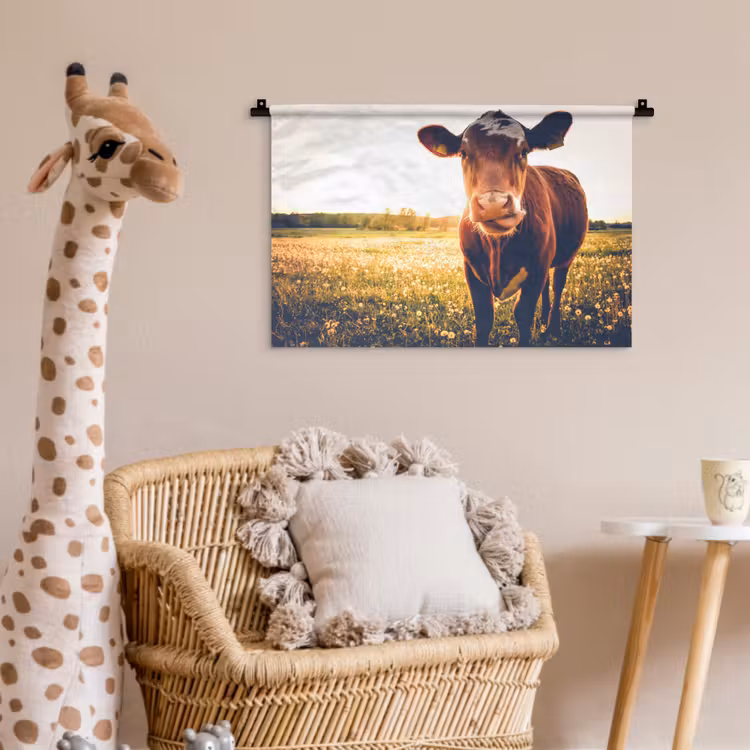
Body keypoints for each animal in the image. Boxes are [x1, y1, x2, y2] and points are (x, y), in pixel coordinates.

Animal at [418, 110, 588, 346]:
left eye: (523, 151)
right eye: (463, 153)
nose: (493, 204)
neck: (498, 248)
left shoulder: (537, 268)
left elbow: (523, 315)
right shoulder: (471, 270)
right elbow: (484, 318)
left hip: (566, 257)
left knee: (557, 285)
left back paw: (552, 328)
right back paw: (543, 319)